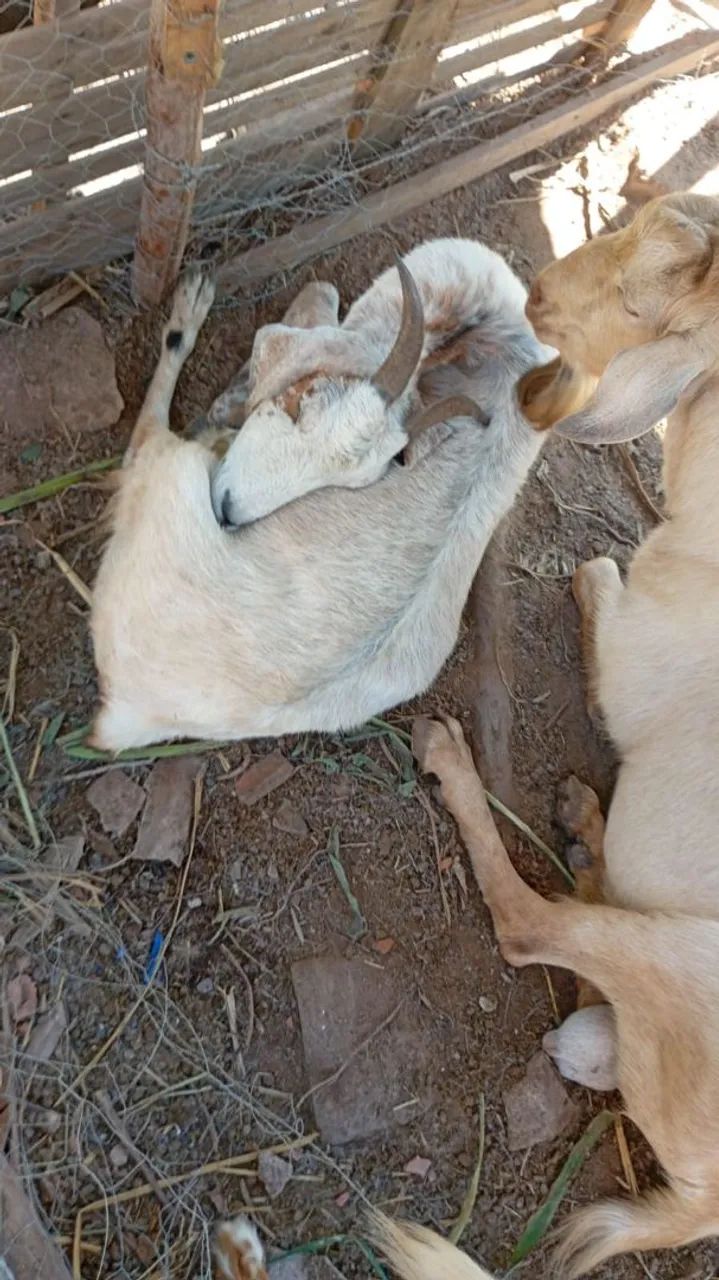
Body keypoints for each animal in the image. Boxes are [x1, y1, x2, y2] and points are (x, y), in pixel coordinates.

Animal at [90, 239, 548, 752]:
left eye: (353, 481)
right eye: (299, 402)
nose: (227, 510)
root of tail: (131, 714)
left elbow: (319, 294)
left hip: (171, 469)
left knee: (145, 436)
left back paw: (191, 308)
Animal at [375, 192, 719, 1278]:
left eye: (639, 299)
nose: (534, 293)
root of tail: (696, 1204)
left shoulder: (635, 640)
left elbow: (593, 574)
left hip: (683, 956)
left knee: (529, 927)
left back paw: (453, 761)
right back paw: (578, 817)